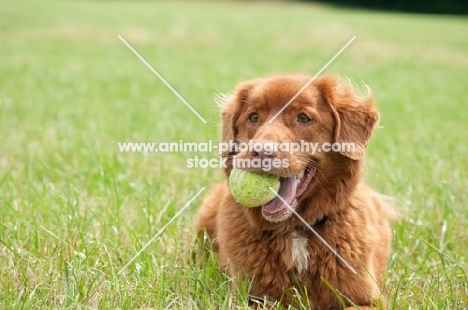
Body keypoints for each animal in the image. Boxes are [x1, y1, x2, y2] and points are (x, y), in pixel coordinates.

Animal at [194, 75, 392, 310]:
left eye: (303, 118)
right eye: (253, 117)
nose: (261, 151)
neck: (295, 229)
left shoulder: (369, 300)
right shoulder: (250, 298)